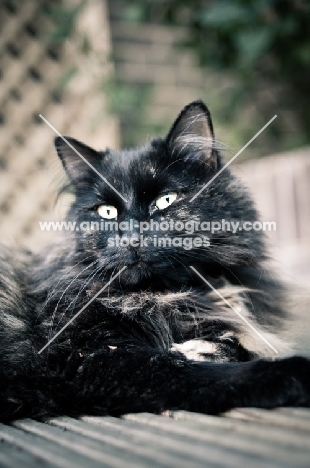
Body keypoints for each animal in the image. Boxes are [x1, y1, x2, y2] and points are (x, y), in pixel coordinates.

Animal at [0, 100, 310, 422]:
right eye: (107, 212)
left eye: (165, 200)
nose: (131, 238)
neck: (169, 293)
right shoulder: (91, 357)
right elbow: (193, 372)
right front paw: (291, 371)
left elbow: (234, 344)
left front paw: (206, 348)